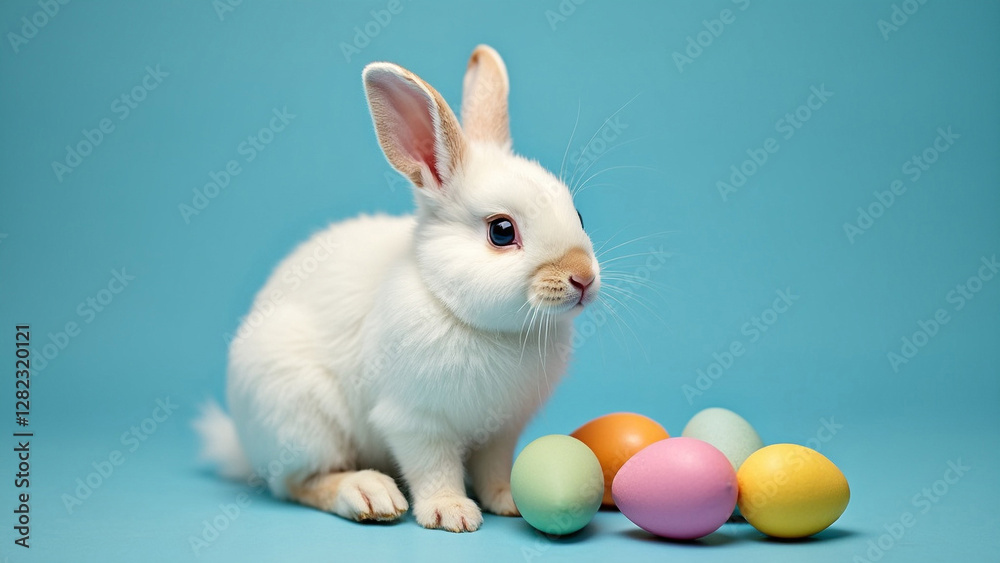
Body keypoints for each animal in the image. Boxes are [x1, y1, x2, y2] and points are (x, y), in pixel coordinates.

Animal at [194, 45, 601, 532]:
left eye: (578, 215)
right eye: (502, 232)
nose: (584, 278)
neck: (474, 320)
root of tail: (243, 444)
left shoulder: (500, 432)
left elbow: (494, 469)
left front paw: (509, 501)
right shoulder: (415, 422)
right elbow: (434, 468)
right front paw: (452, 512)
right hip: (301, 420)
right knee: (301, 483)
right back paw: (369, 494)